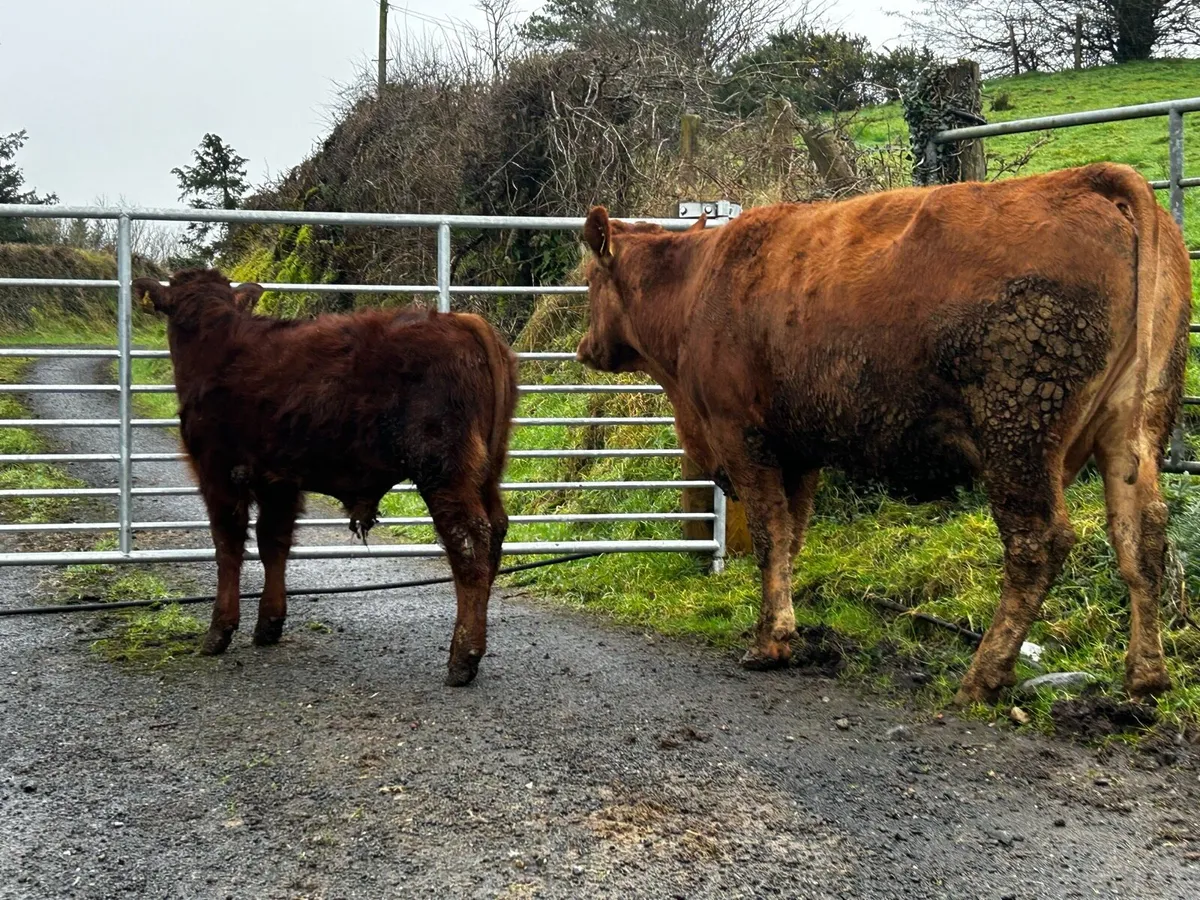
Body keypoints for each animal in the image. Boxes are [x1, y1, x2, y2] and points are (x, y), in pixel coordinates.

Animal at [133, 269, 519, 686]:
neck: (214, 340)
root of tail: (459, 320)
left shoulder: (217, 471)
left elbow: (228, 546)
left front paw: (218, 631)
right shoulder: (277, 480)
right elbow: (274, 543)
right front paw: (269, 624)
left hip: (443, 469)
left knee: (469, 543)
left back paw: (463, 657)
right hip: (487, 470)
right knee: (496, 531)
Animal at [576, 163, 1192, 705]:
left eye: (587, 280)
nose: (584, 348)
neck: (700, 285)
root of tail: (1085, 179)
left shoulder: (743, 437)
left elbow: (772, 536)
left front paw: (769, 642)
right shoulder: (799, 451)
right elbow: (792, 537)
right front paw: (784, 629)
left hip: (1017, 430)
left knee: (1037, 543)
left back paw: (983, 676)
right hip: (1135, 425)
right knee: (1141, 533)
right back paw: (1146, 676)